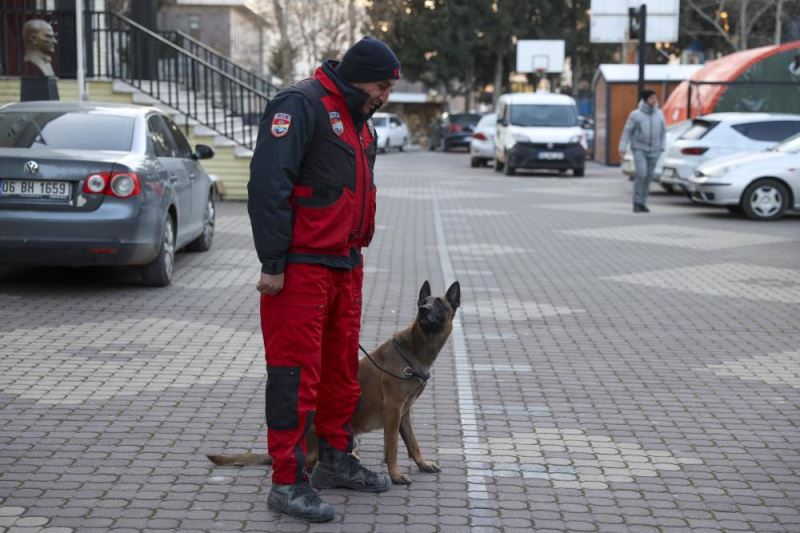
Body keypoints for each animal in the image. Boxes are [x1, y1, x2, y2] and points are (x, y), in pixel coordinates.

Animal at [206, 280, 460, 484]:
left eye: (439, 304)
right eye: (423, 303)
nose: (423, 310)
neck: (415, 350)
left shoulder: (404, 412)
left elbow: (412, 442)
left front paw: (422, 463)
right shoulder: (393, 410)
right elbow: (394, 447)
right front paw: (395, 475)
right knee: (311, 462)